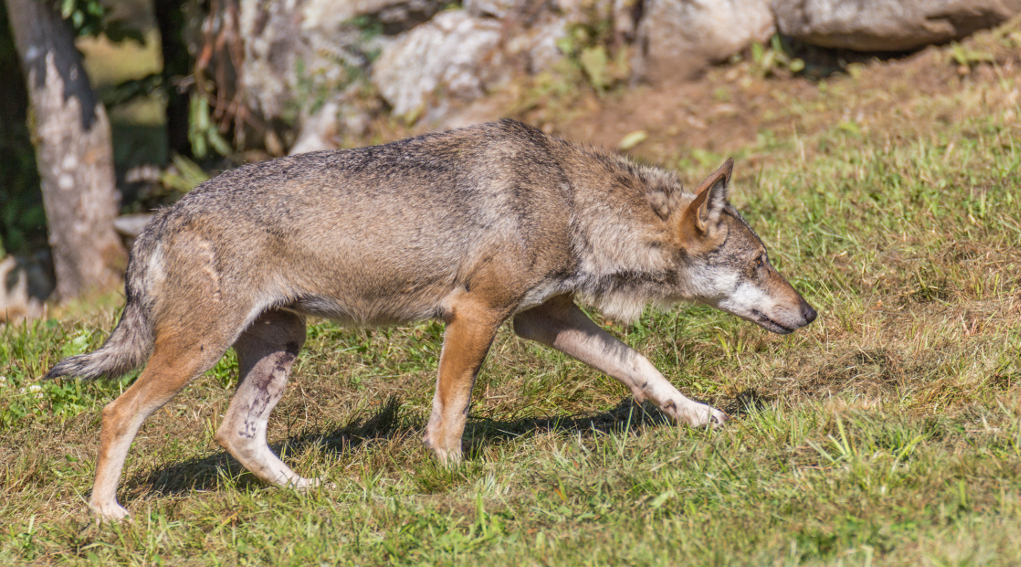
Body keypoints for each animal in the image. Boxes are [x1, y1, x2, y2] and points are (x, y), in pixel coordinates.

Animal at [45, 119, 816, 520]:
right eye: (760, 261)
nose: (809, 311)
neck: (570, 200)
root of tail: (159, 219)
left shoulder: (543, 320)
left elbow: (641, 367)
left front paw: (699, 416)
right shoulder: (476, 314)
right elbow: (452, 409)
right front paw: (450, 478)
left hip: (280, 347)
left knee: (236, 431)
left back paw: (310, 493)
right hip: (196, 352)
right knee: (117, 412)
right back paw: (107, 514)